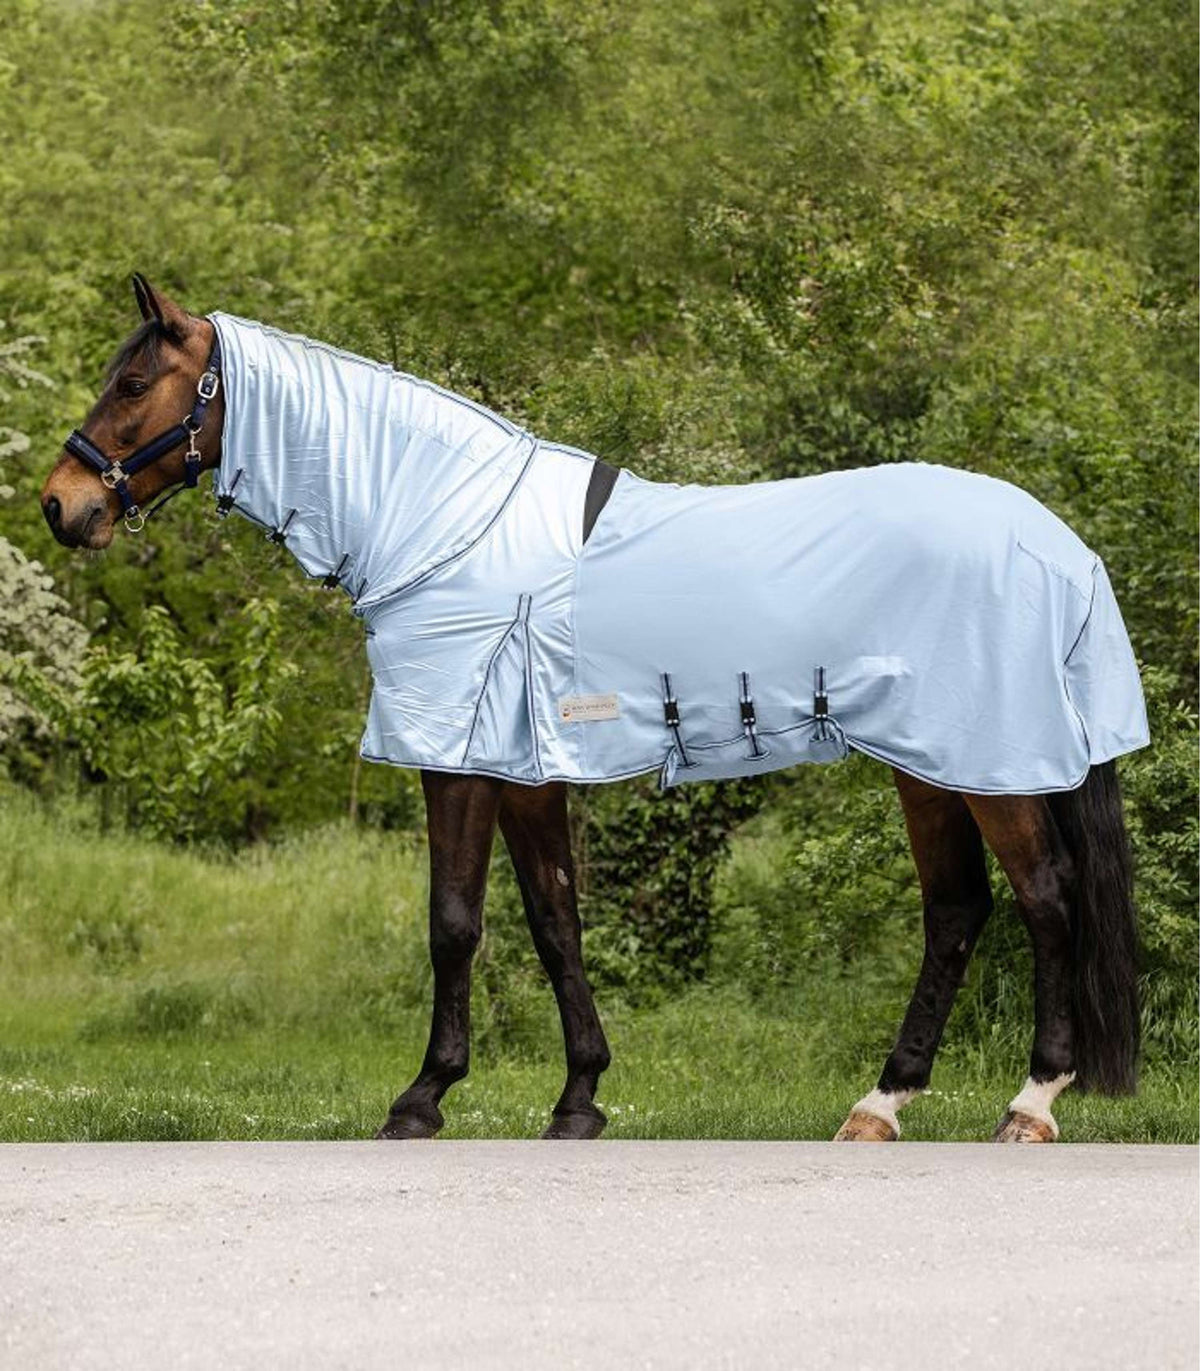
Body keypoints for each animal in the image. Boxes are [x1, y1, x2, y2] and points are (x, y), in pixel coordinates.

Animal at [39, 272, 1146, 1140]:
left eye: (133, 382)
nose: (60, 505)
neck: (442, 522)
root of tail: (1058, 543)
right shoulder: (526, 773)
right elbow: (554, 921)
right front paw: (578, 1099)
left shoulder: (459, 761)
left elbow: (455, 922)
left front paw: (422, 1098)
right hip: (933, 766)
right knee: (957, 911)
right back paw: (881, 1105)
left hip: (989, 765)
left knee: (1046, 898)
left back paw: (1030, 1104)